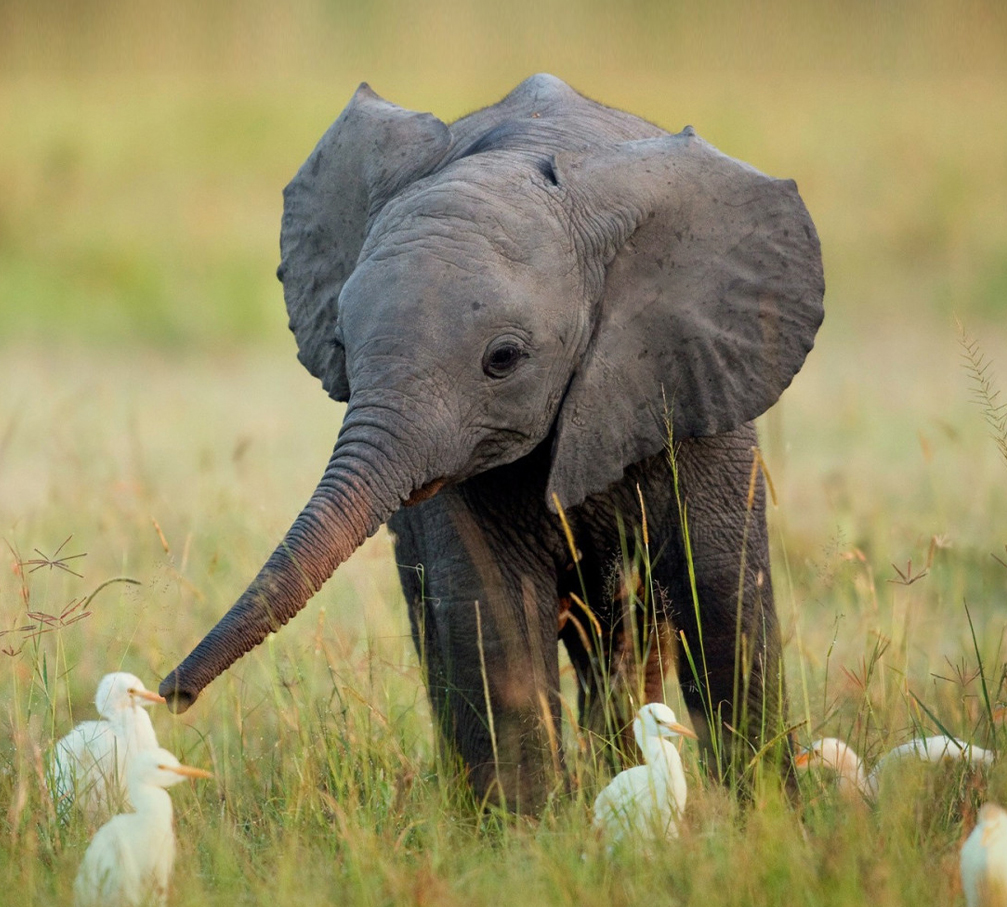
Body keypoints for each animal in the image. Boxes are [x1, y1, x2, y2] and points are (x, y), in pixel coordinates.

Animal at [161, 74, 821, 809]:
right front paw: (524, 830)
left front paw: (768, 815)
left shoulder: (697, 379)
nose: (171, 695)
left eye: (502, 359)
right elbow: (491, 612)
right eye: (341, 346)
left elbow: (722, 597)